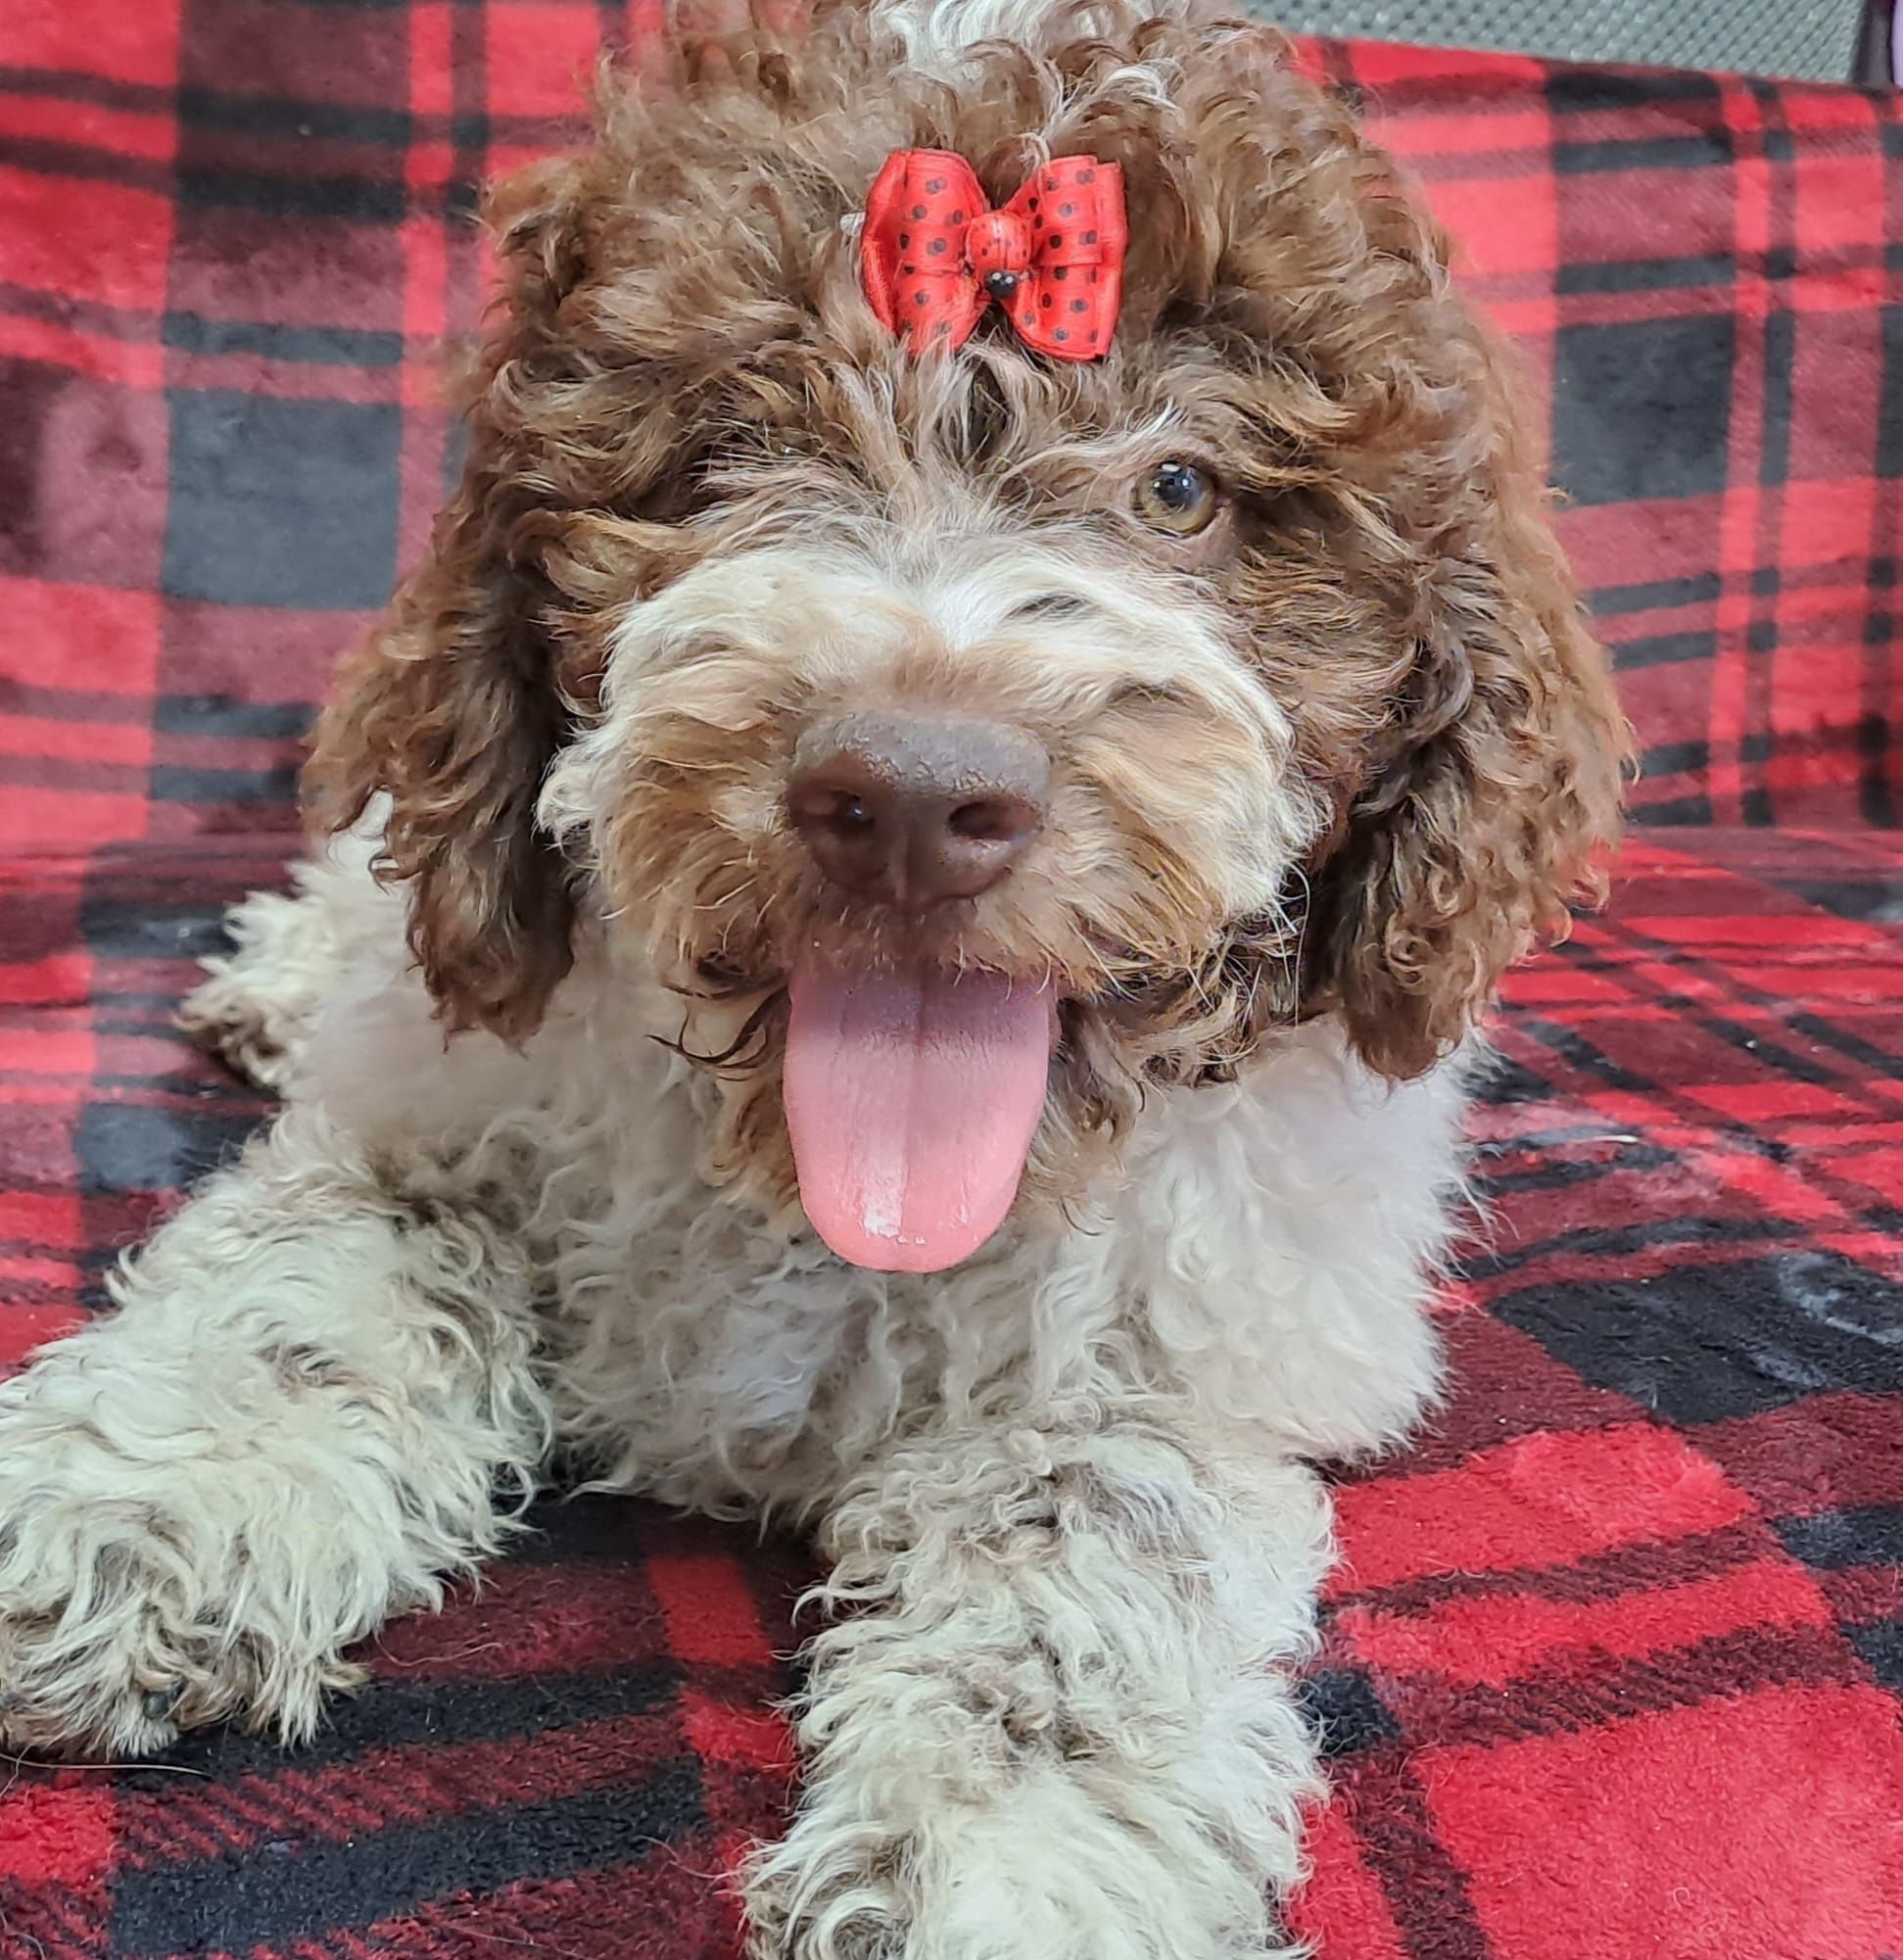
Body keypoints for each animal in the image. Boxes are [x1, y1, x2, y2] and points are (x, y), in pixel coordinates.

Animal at [0, 7, 1630, 1951]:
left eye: (1181, 490)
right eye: (724, 450)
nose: (911, 797)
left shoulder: (1168, 1366)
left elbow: (1086, 1563)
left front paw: (999, 1866)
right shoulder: (431, 1118)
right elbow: (311, 1291)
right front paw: (135, 1515)